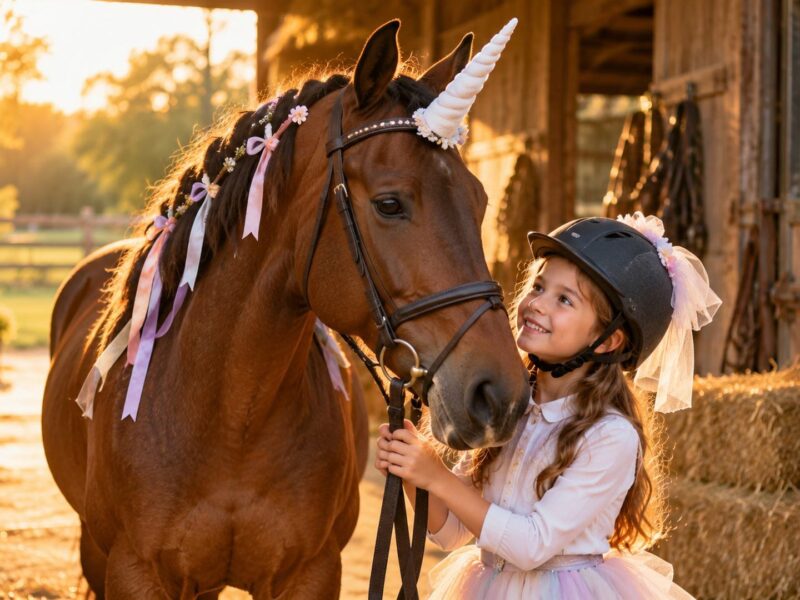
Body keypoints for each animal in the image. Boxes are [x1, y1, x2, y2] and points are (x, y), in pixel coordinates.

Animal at [42, 20, 529, 599]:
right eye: (390, 203)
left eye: (480, 201)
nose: (500, 396)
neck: (231, 419)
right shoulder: (132, 572)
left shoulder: (311, 573)